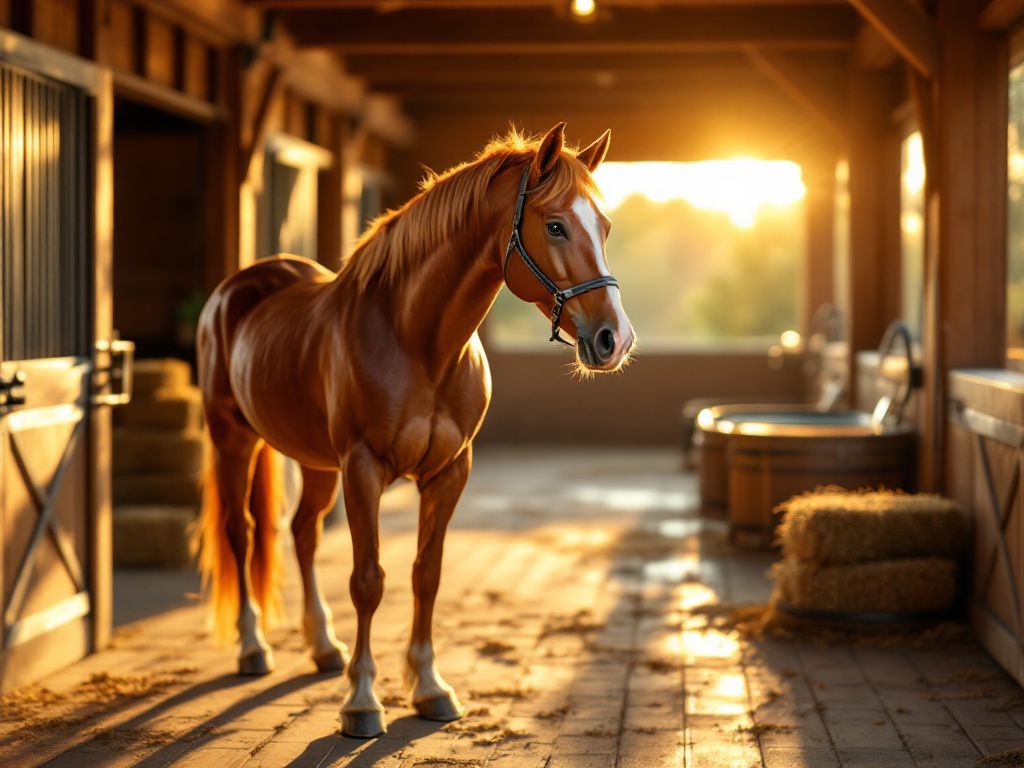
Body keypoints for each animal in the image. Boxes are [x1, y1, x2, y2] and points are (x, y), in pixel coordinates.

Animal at [195, 122, 635, 738]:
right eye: (555, 225)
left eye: (606, 227)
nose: (614, 339)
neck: (417, 343)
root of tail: (236, 288)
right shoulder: (362, 469)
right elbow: (368, 580)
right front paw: (361, 702)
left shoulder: (449, 472)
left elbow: (427, 574)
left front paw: (430, 688)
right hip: (234, 440)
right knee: (242, 531)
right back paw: (253, 647)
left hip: (315, 460)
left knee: (303, 531)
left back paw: (322, 646)